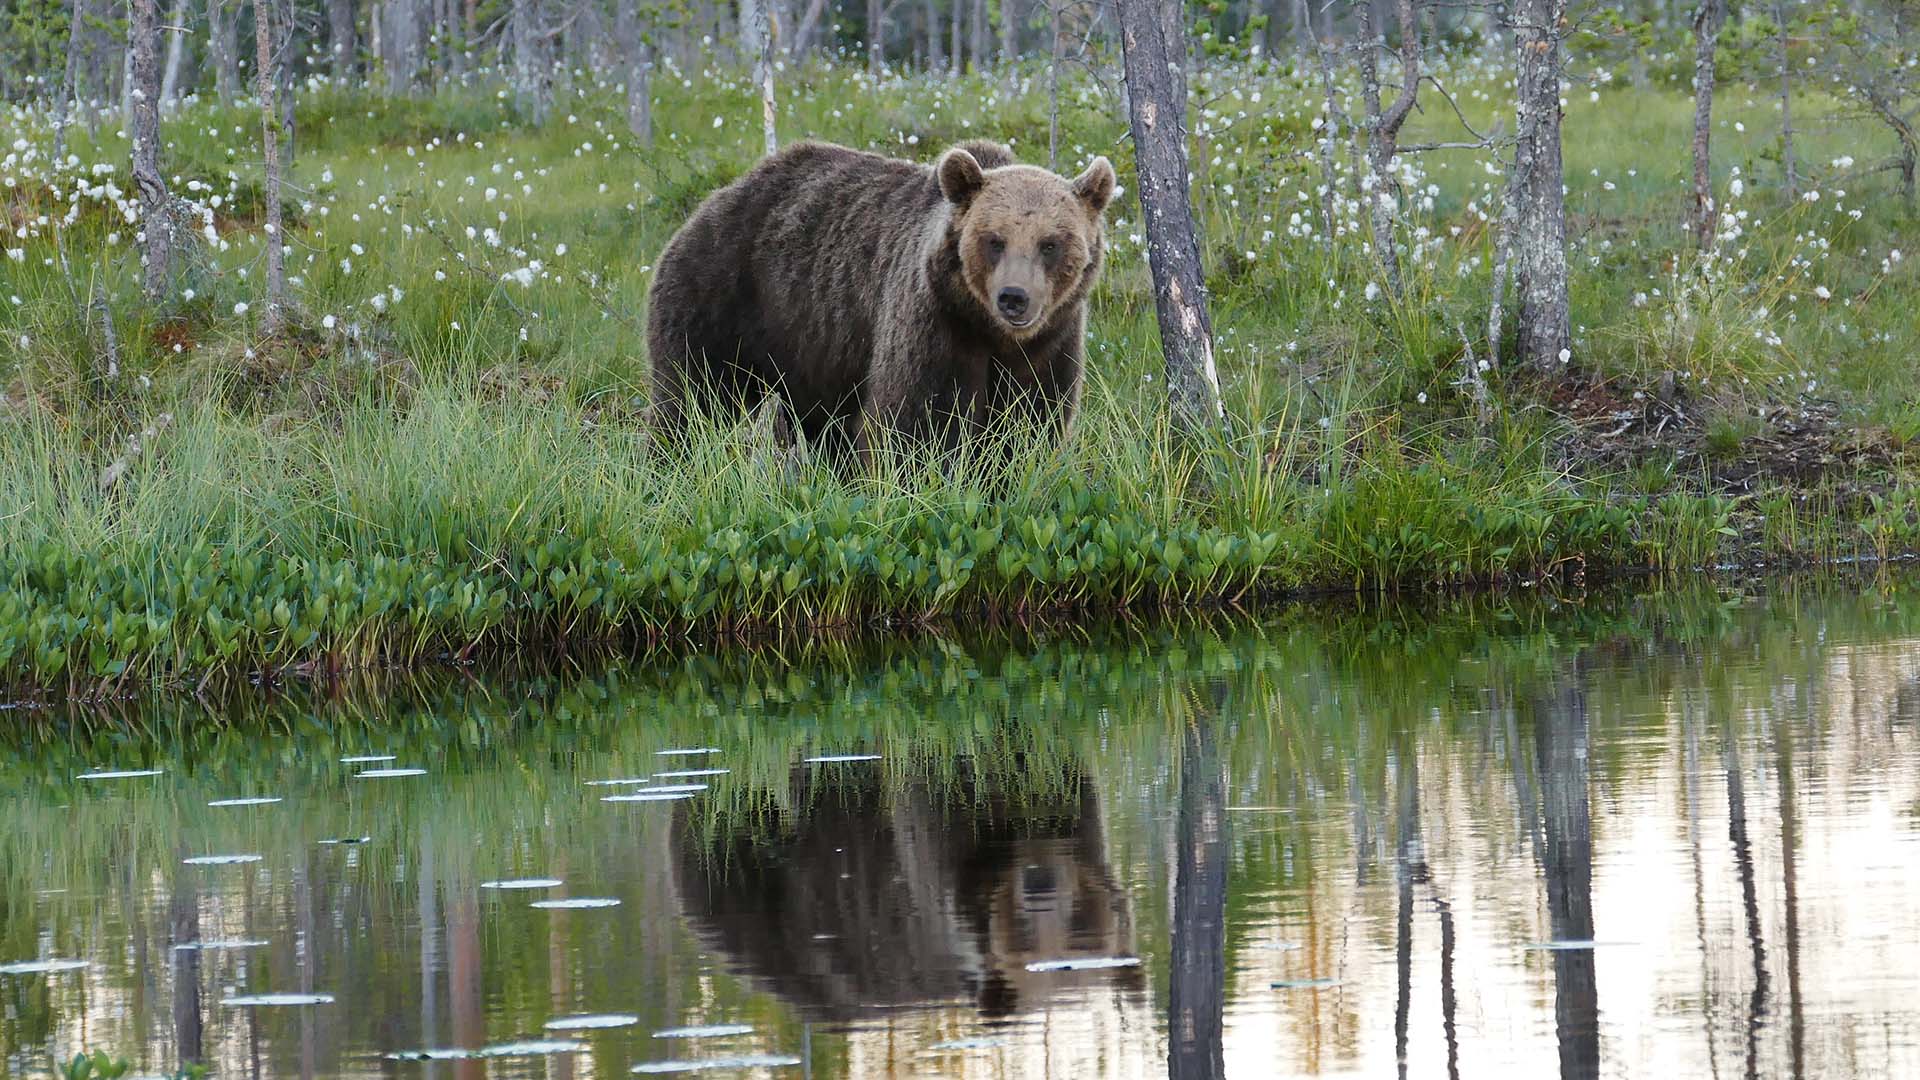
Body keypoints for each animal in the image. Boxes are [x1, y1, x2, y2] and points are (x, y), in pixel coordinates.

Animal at [644, 138, 1116, 460]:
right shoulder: (935, 324)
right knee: (692, 396)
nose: (1013, 298)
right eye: (994, 240)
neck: (990, 333)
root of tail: (722, 194)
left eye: (1050, 243)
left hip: (812, 347)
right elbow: (917, 423)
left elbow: (1028, 423)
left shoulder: (1050, 342)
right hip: (722, 293)